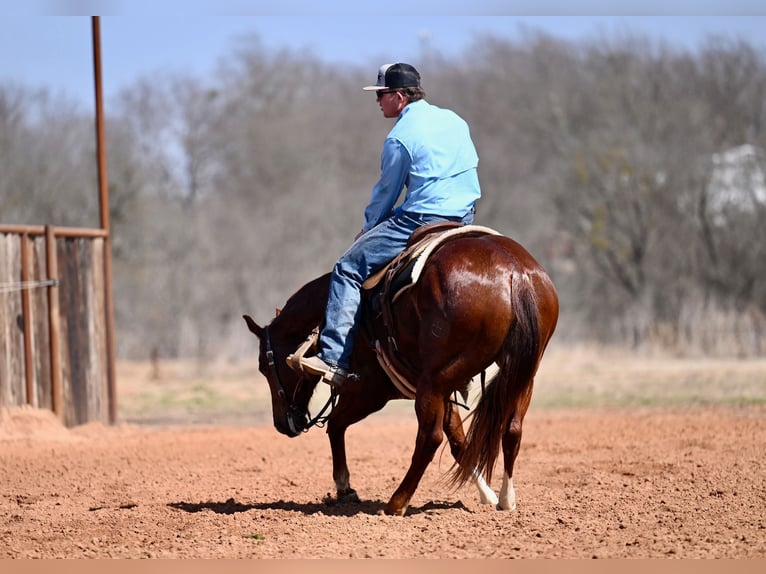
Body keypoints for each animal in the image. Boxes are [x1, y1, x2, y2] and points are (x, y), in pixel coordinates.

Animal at [243, 229, 559, 516]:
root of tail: (514, 274)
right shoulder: (443, 391)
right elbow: (459, 440)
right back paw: (506, 499)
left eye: (263, 366)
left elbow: (335, 425)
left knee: (429, 438)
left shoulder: (369, 392)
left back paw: (396, 502)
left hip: (434, 382)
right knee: (512, 429)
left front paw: (345, 487)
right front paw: (487, 495)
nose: (282, 425)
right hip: (518, 376)